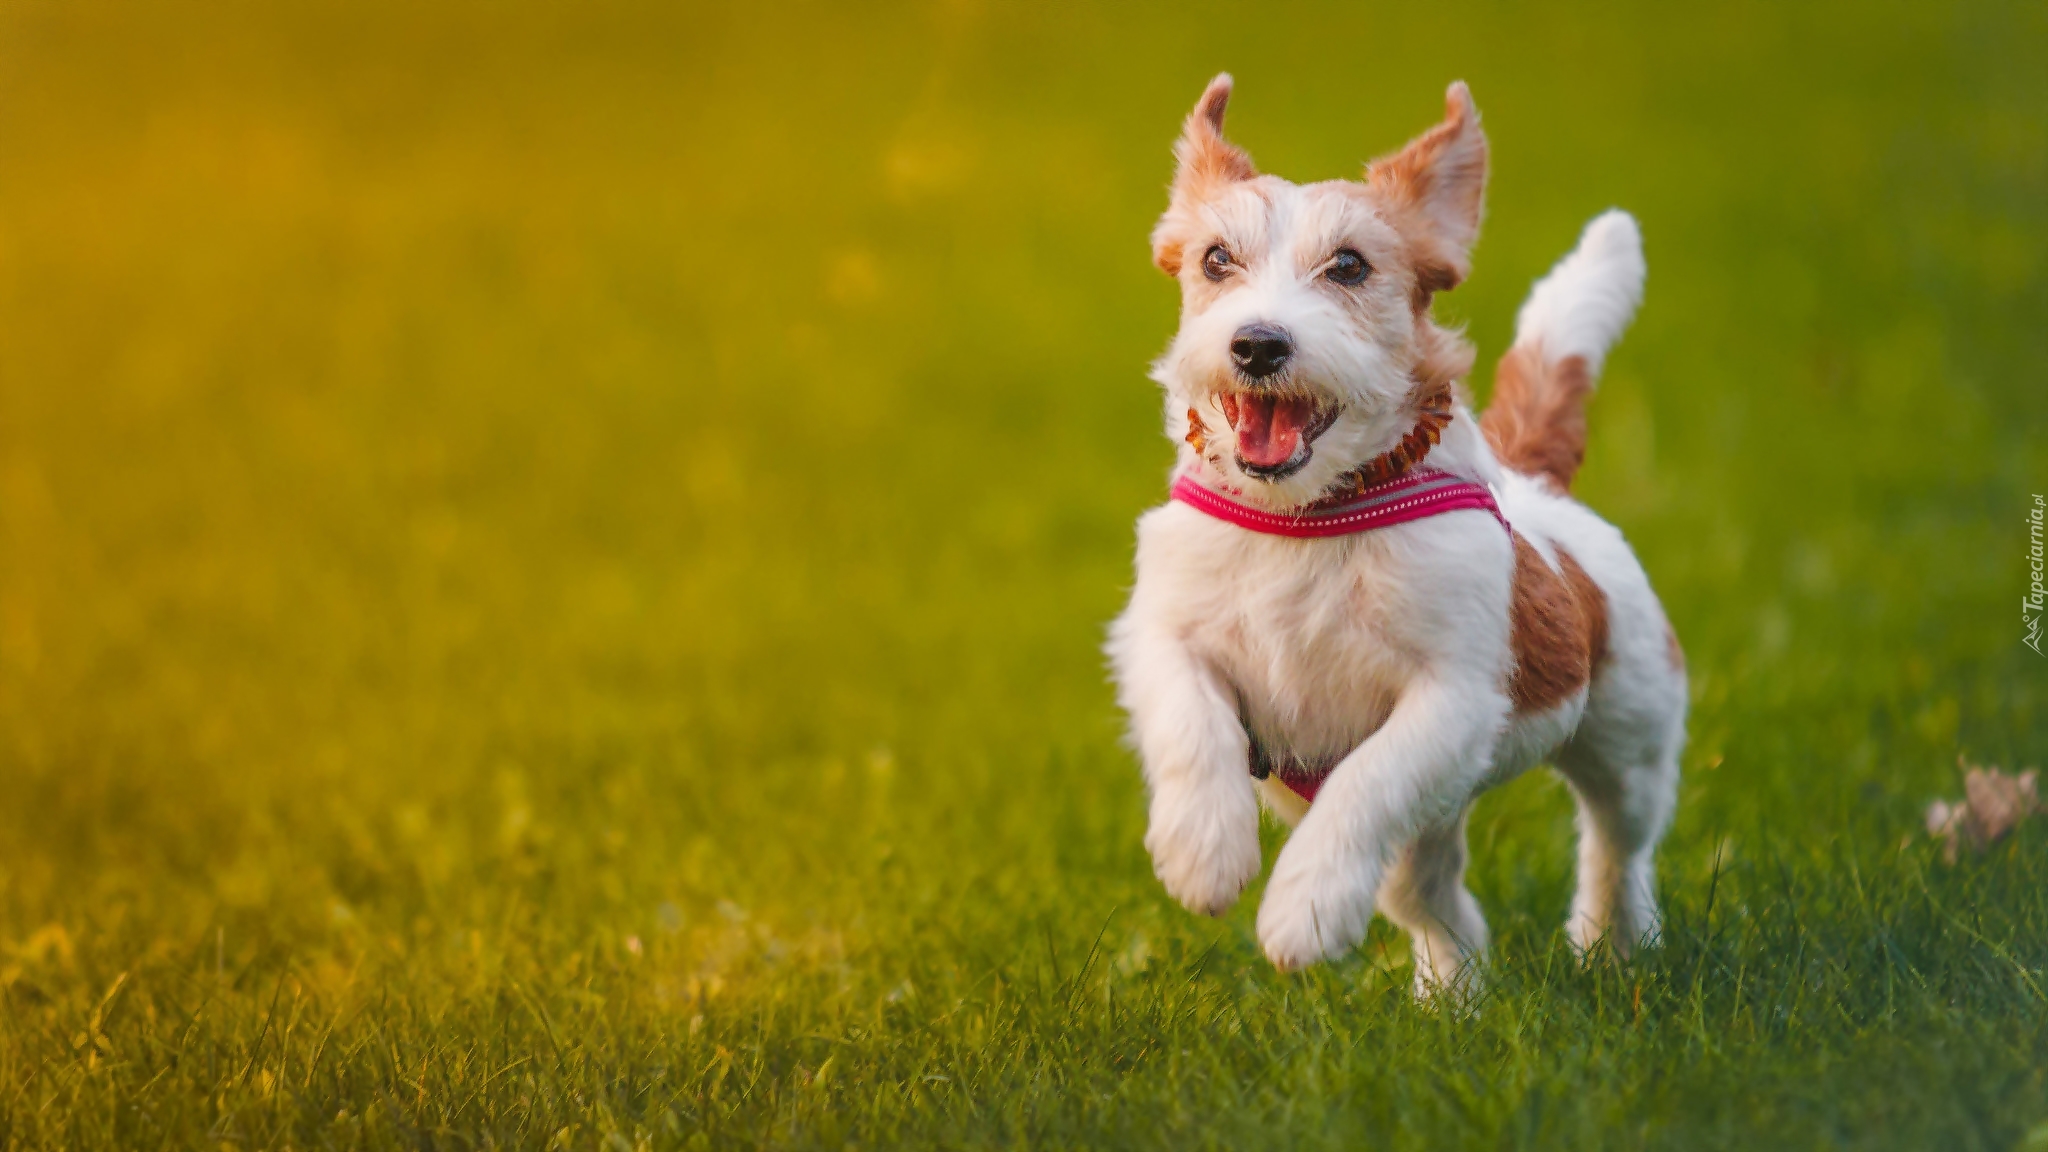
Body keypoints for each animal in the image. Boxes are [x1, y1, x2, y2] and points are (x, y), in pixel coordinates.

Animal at [1114, 73, 1687, 988]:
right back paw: (1455, 991)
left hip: (1630, 734)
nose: (1257, 344)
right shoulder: (1160, 632)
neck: (1311, 516)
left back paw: (1613, 944)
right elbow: (1189, 719)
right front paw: (1203, 852)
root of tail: (1537, 482)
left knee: (1616, 844)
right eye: (1215, 260)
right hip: (1433, 824)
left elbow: (1364, 787)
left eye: (1349, 265)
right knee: (1432, 894)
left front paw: (1304, 913)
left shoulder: (1450, 696)